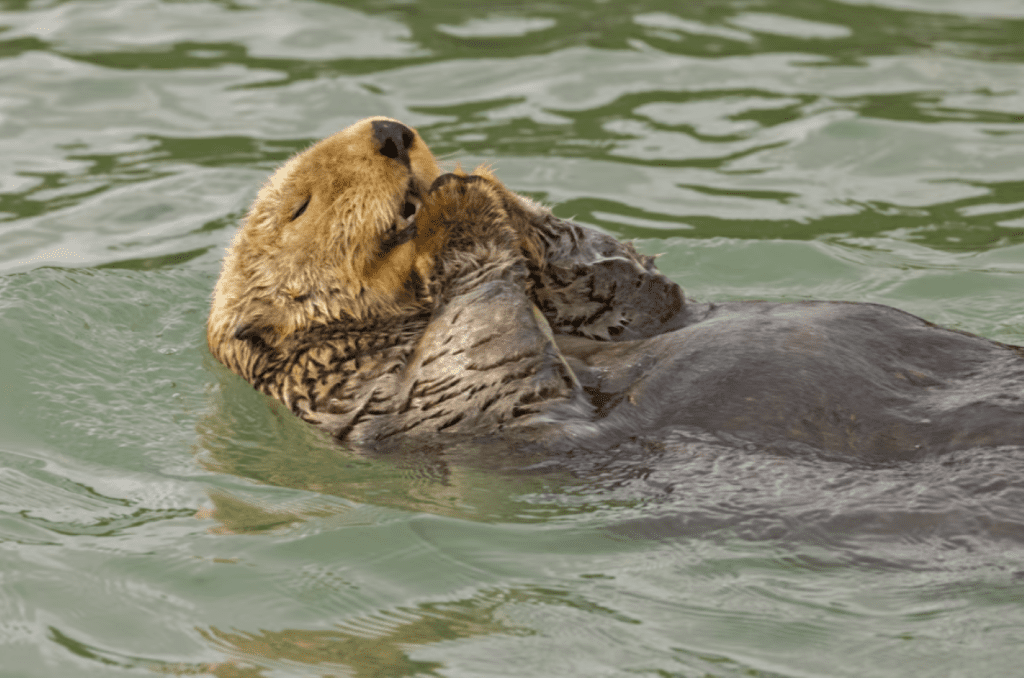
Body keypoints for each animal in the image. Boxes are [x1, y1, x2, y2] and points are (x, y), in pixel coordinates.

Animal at [207, 116, 1024, 462]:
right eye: (300, 206)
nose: (390, 132)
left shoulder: (631, 313)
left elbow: (633, 287)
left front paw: (478, 186)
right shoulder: (359, 392)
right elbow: (476, 370)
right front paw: (460, 211)